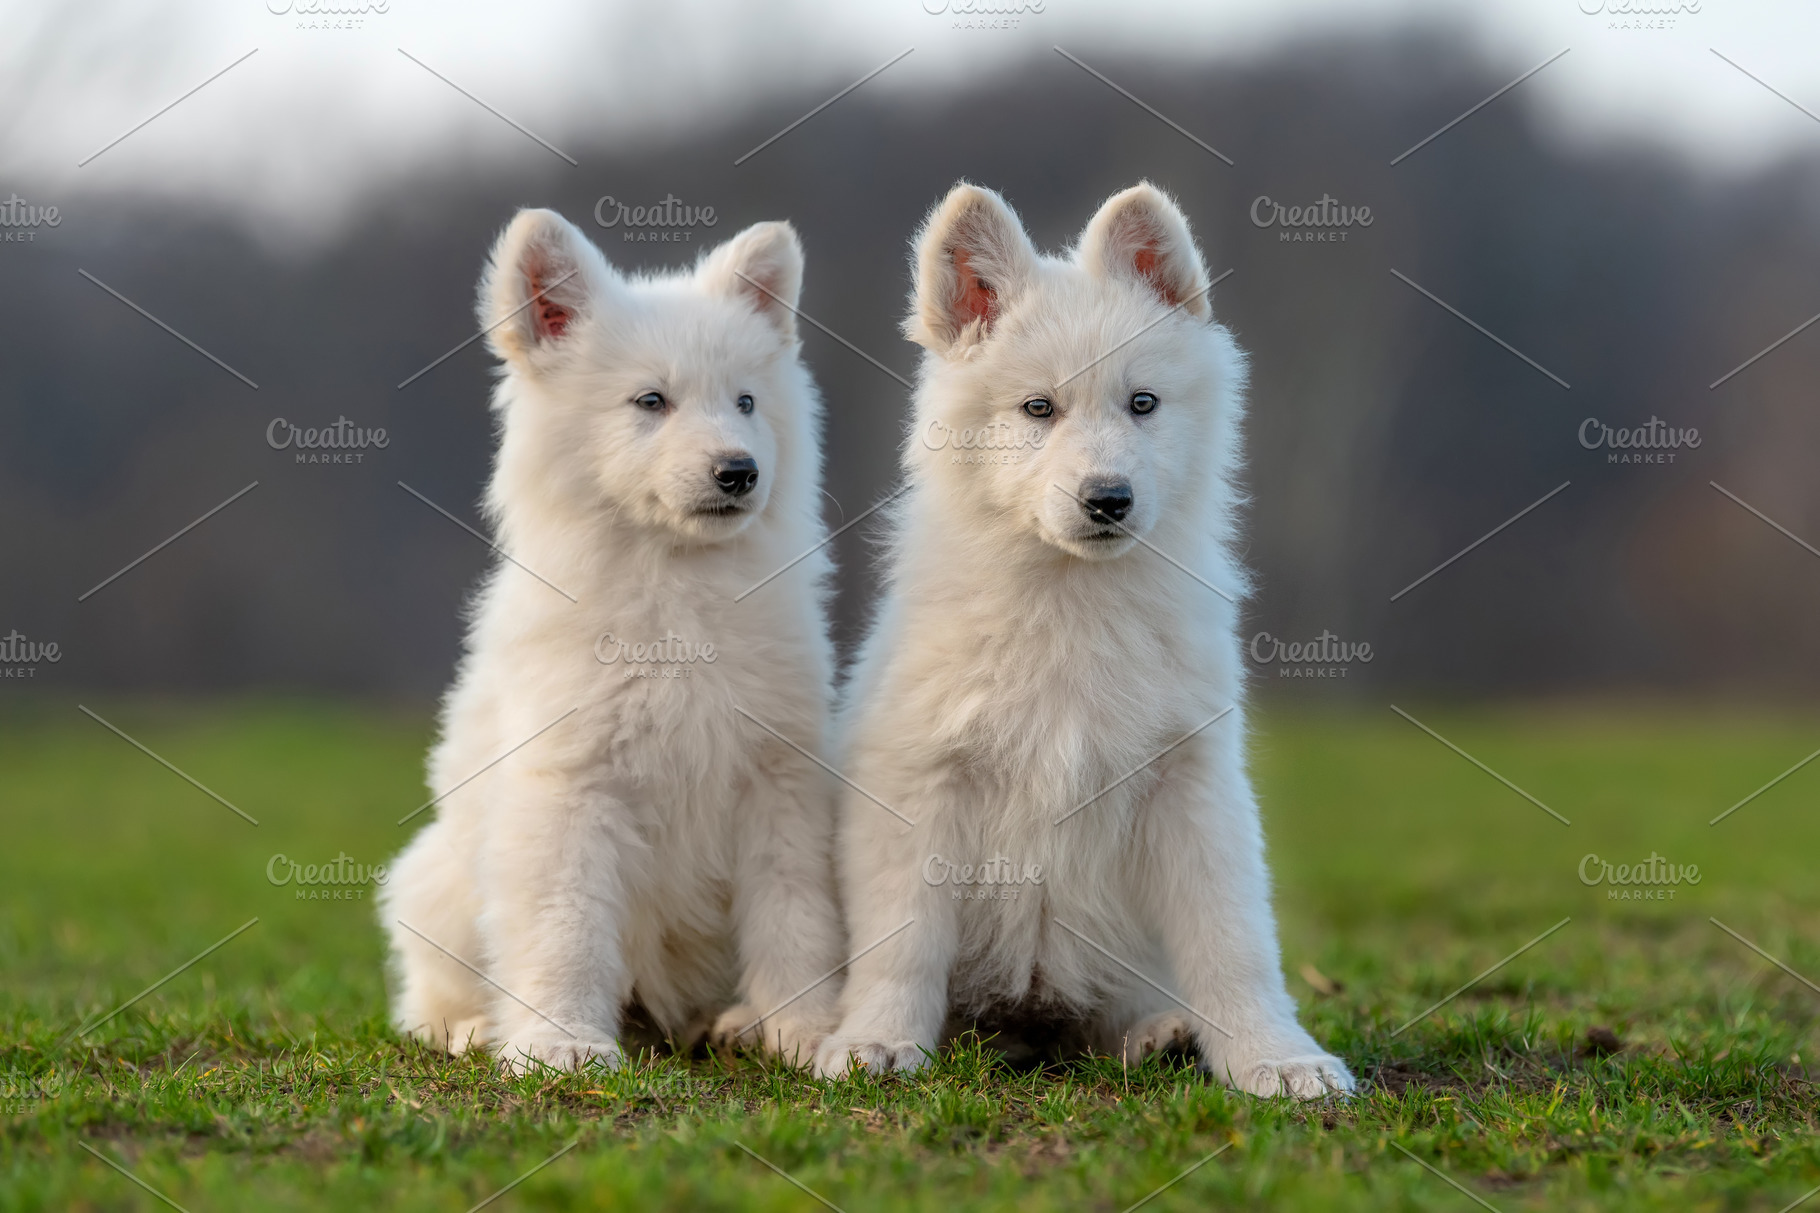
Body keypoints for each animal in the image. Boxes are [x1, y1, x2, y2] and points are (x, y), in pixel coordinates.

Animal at [382, 207, 844, 1070]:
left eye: (745, 401)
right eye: (651, 400)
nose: (738, 470)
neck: (674, 595)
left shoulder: (780, 779)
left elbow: (796, 916)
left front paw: (808, 1031)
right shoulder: (572, 787)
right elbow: (567, 928)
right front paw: (559, 1045)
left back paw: (733, 1022)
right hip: (435, 886)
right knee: (428, 995)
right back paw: (473, 1029)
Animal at [811, 182, 1354, 1092]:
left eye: (1143, 403)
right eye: (1039, 408)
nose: (1109, 499)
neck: (1070, 599)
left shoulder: (1191, 781)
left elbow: (1234, 942)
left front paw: (1277, 1058)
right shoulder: (920, 781)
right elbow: (903, 937)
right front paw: (877, 1041)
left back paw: (1159, 1034)